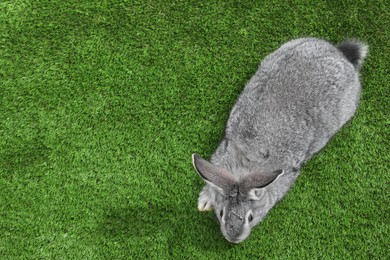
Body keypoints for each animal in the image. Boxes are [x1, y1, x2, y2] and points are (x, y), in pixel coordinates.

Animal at [192, 37, 368, 243]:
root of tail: (341, 55)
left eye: (250, 217)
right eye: (221, 214)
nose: (233, 239)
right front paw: (205, 201)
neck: (248, 164)